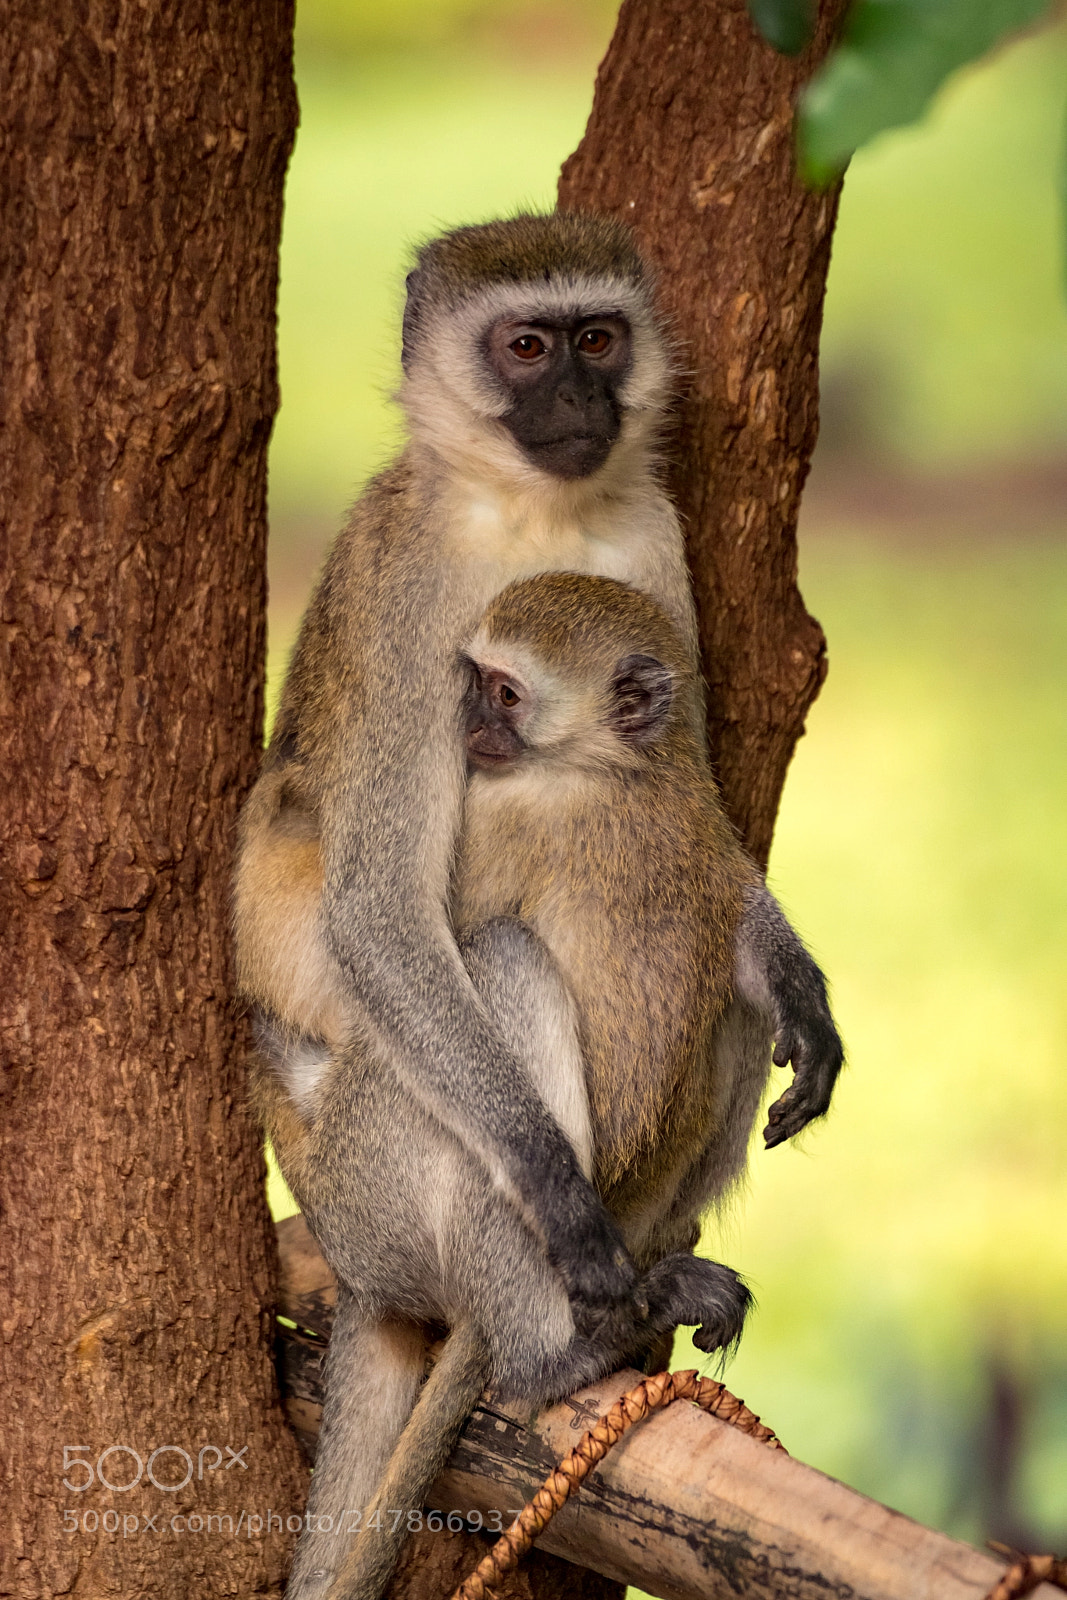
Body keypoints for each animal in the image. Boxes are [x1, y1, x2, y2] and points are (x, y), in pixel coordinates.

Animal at [232, 212, 843, 1599]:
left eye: (597, 337)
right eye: (524, 347)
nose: (576, 398)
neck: (532, 511)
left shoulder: (653, 543)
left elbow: (703, 828)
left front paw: (799, 983)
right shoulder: (409, 601)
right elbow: (379, 909)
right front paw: (558, 1192)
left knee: (718, 1005)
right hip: (357, 1177)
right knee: (475, 979)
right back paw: (553, 1346)